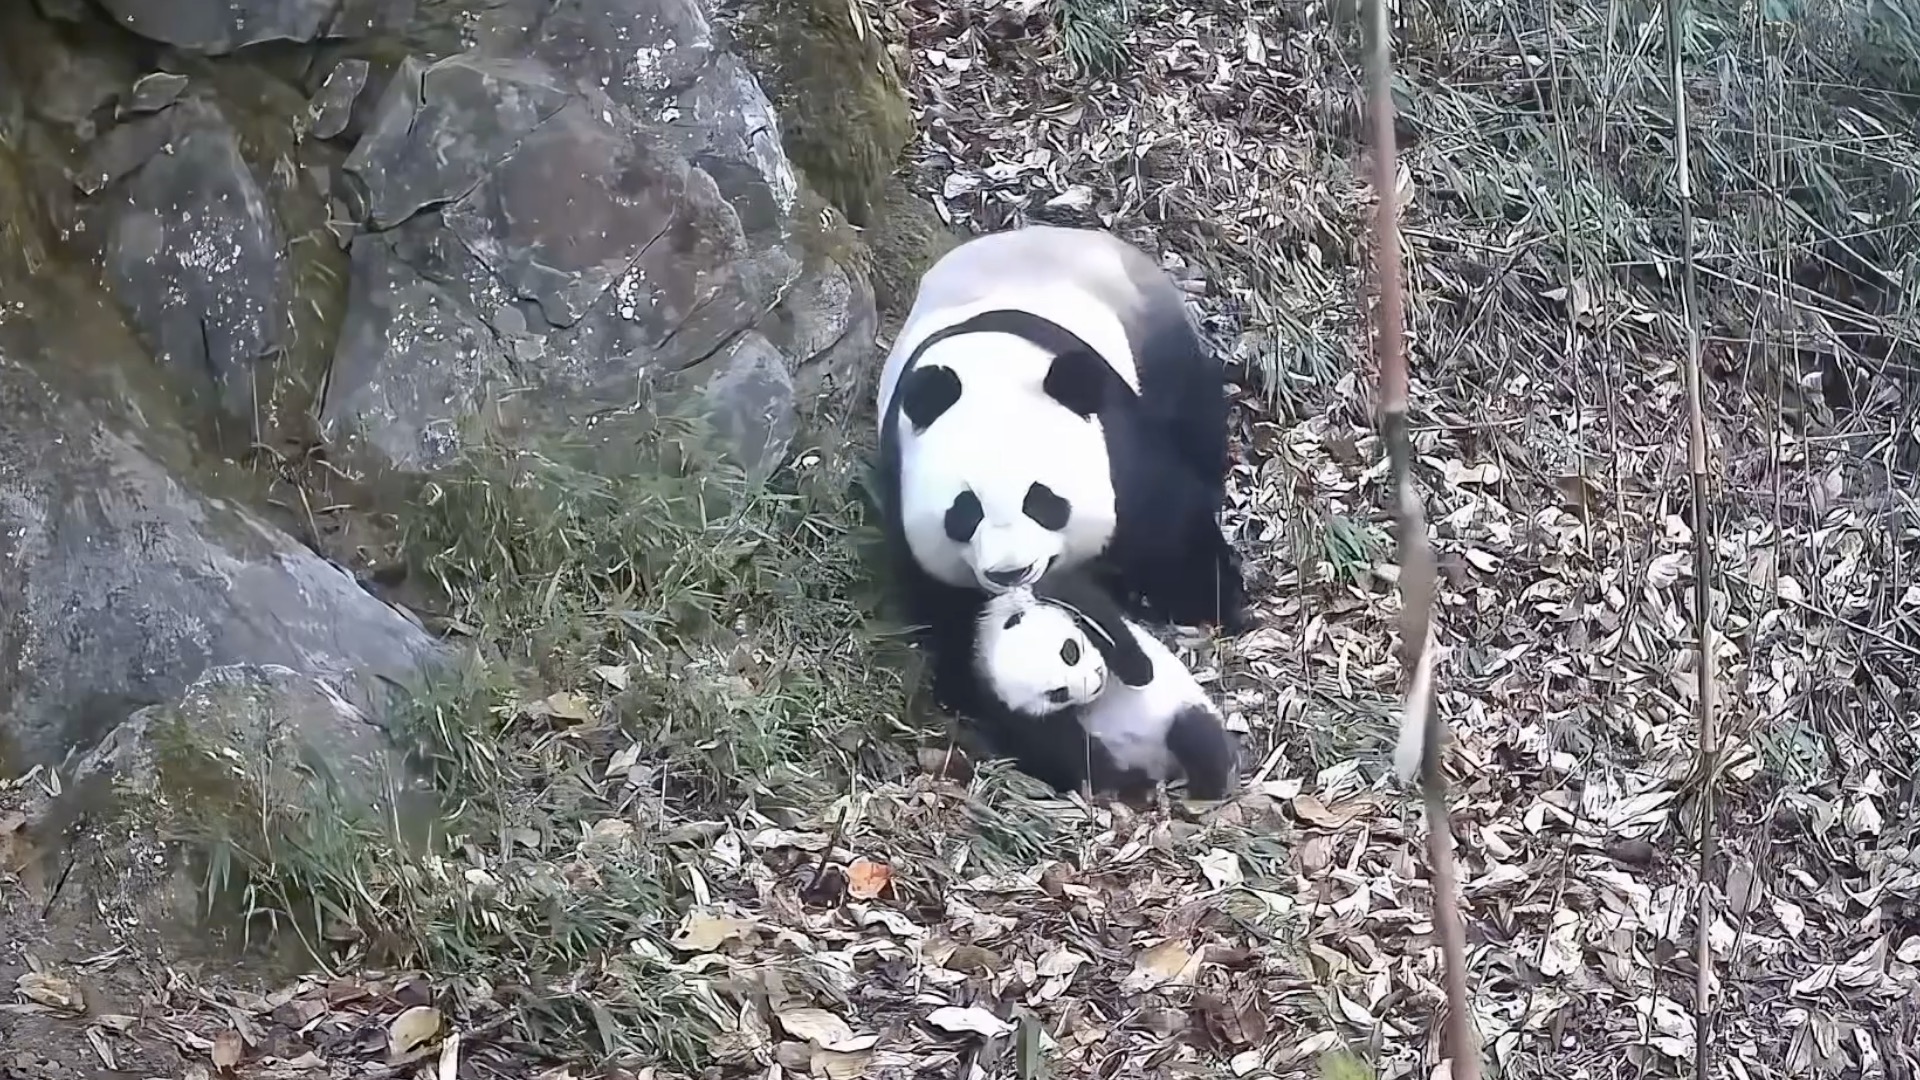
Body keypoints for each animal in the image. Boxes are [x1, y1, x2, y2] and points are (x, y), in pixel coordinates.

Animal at [873, 224, 1249, 722]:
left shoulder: (1115, 448)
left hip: (1155, 349)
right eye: (964, 512)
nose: (1012, 572)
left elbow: (1166, 521)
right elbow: (947, 604)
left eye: (1042, 500)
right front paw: (969, 685)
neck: (985, 371)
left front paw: (1213, 598)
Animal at [972, 567, 1240, 801]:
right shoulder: (1010, 710)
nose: (1096, 682)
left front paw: (1139, 671)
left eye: (1069, 652)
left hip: (1176, 708)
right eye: (1057, 693)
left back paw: (1208, 788)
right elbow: (1061, 744)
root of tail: (1163, 765)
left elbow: (1103, 619)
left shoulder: (1049, 594)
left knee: (1197, 736)